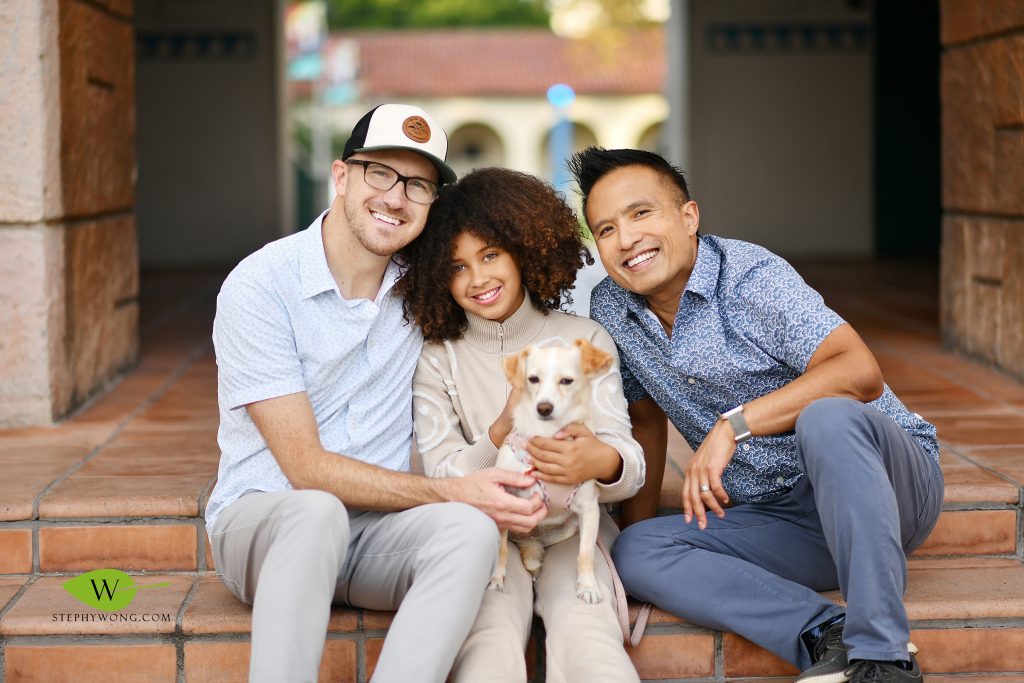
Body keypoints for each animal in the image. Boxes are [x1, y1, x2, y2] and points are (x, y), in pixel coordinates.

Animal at [489, 337, 613, 604]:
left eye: (566, 381)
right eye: (533, 379)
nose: (544, 407)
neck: (548, 435)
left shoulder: (589, 510)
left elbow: (585, 554)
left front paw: (588, 586)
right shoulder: (503, 502)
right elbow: (501, 548)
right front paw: (496, 578)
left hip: (568, 528)